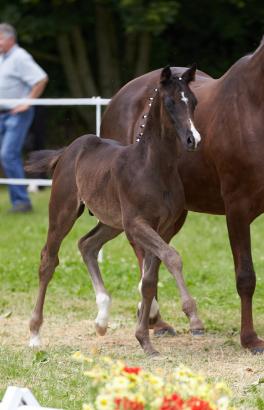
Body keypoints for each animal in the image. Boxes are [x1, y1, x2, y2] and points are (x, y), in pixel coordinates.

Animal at [26, 65, 202, 354]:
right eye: (170, 102)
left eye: (194, 102)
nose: (193, 140)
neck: (152, 167)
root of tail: (68, 150)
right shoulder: (137, 224)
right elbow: (173, 257)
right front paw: (194, 318)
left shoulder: (160, 227)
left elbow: (150, 280)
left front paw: (144, 340)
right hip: (63, 212)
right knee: (48, 260)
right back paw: (35, 335)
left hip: (111, 222)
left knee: (87, 244)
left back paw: (101, 320)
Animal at [100, 37, 264, 352]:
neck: (254, 104)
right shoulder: (237, 209)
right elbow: (246, 276)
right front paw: (250, 339)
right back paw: (154, 318)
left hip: (175, 212)